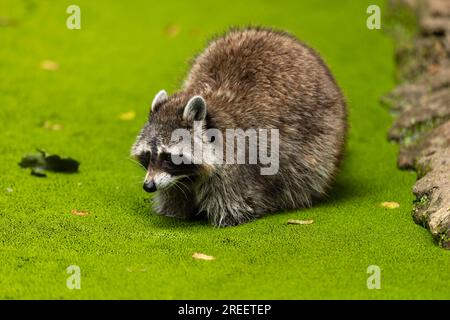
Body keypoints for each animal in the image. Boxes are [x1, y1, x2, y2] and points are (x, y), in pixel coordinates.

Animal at [131, 28, 348, 228]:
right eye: (148, 155)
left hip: (322, 134)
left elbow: (235, 207)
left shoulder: (236, 169)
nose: (148, 186)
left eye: (169, 157)